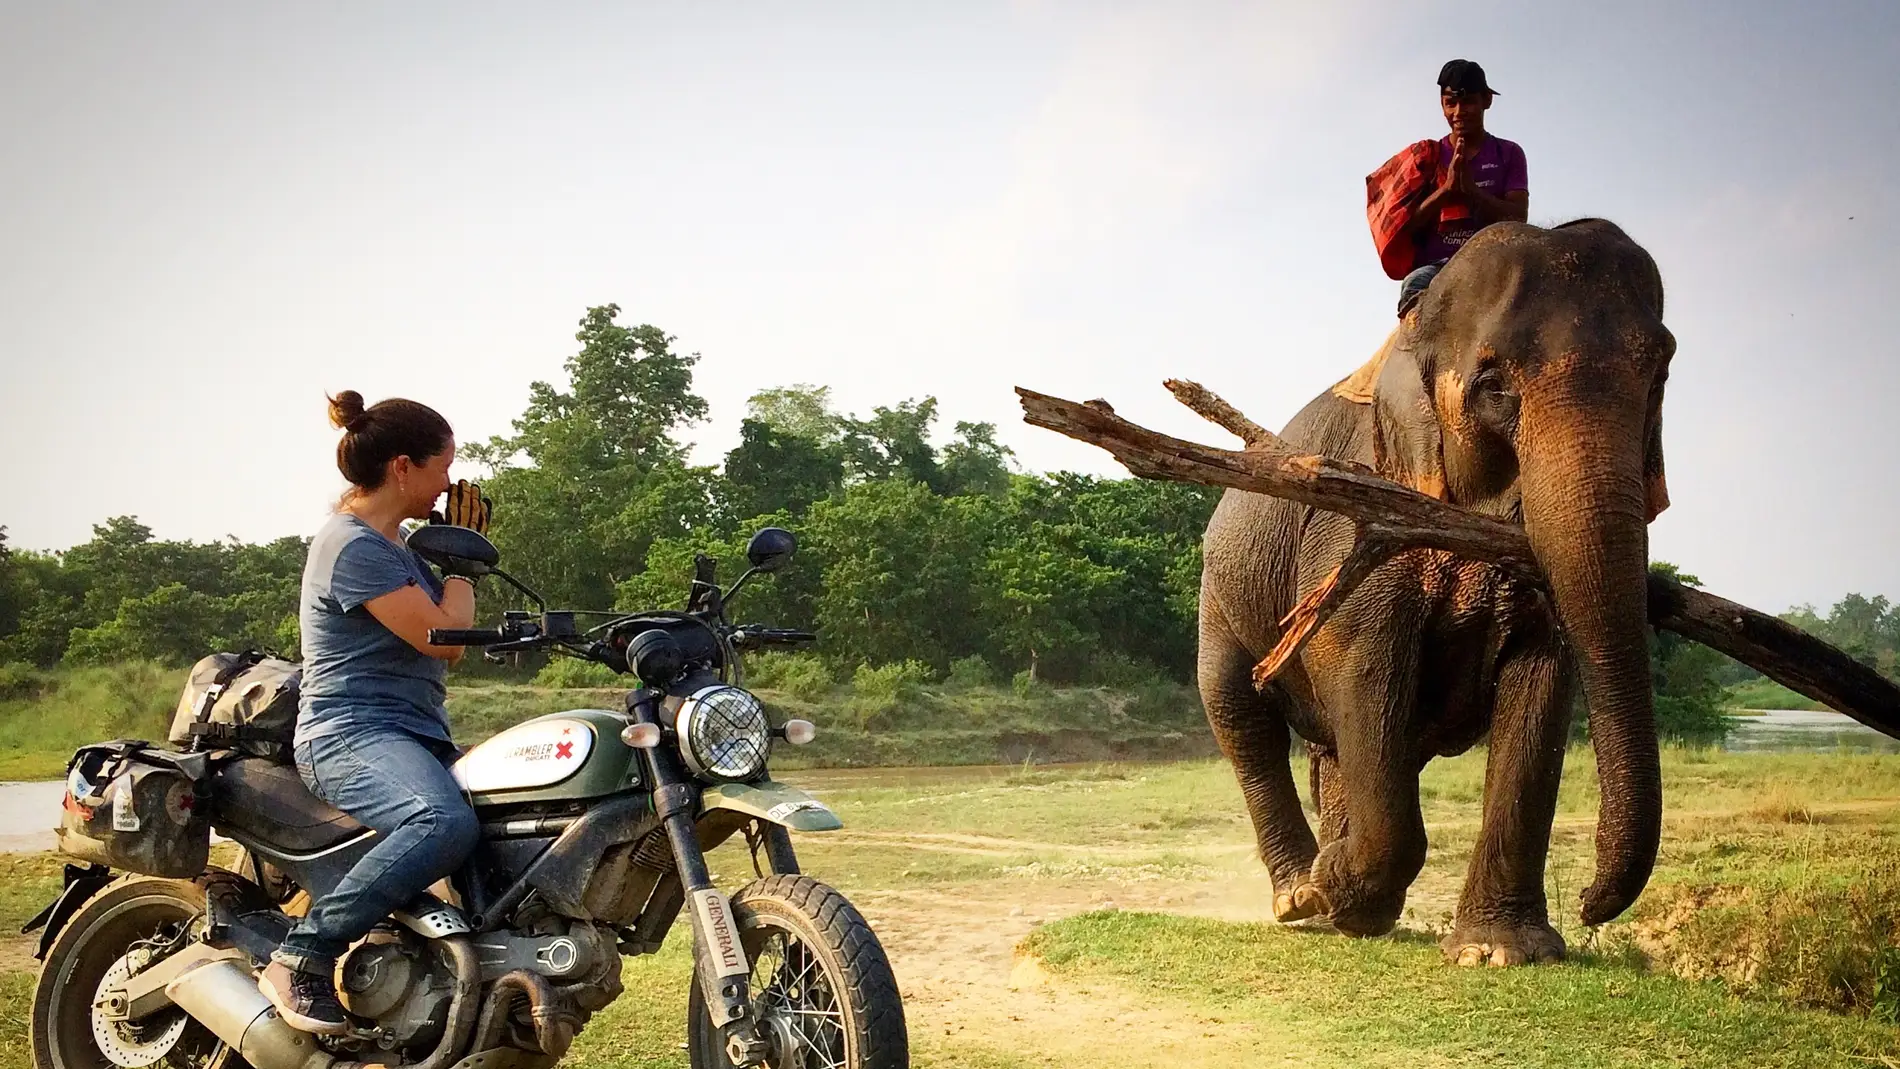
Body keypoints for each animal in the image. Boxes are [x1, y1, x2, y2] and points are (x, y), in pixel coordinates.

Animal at [1200, 219, 1679, 972]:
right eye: (1494, 386)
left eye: (1658, 376)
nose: (1590, 902)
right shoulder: (1358, 516)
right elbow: (1361, 664)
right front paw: (1339, 885)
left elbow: (1542, 680)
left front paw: (1502, 951)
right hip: (1218, 594)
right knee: (1241, 715)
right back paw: (1302, 897)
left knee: (1335, 748)